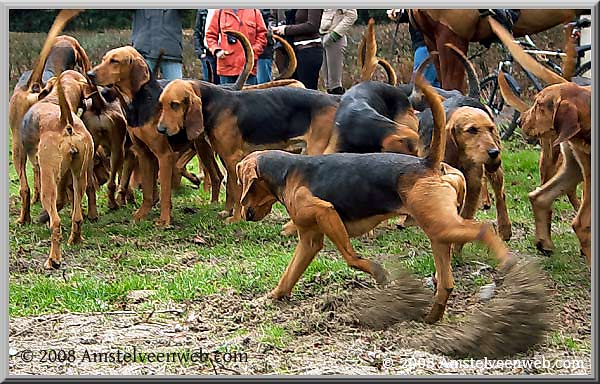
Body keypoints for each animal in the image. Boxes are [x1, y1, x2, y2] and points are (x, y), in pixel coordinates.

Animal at [237, 74, 512, 320]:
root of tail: (427, 164)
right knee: (446, 282)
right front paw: (274, 296)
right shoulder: (309, 240)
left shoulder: (327, 213)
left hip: (442, 226)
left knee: (485, 230)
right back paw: (432, 314)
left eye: (245, 185)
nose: (245, 215)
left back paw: (506, 260)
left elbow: (351, 257)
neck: (287, 172)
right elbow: (290, 274)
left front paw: (378, 273)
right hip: (438, 231)